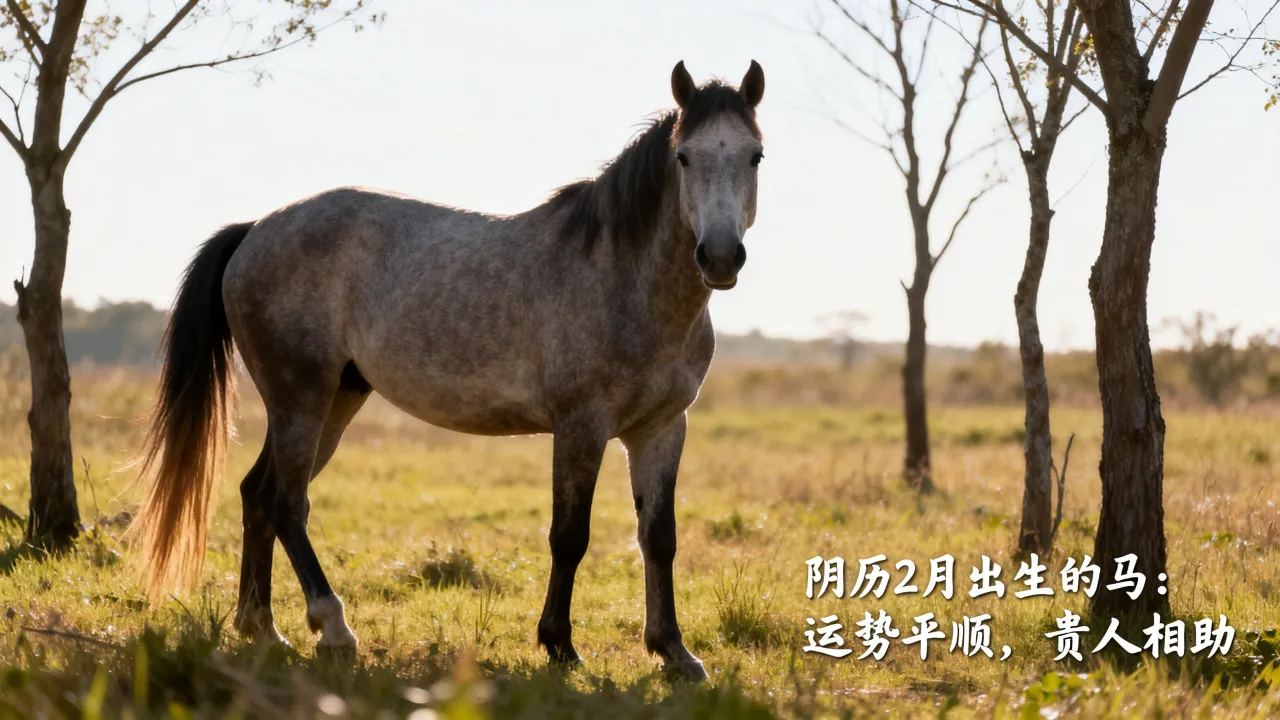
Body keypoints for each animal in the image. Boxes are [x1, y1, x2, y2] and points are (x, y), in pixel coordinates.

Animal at [130, 60, 765, 682]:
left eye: (755, 154)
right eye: (684, 157)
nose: (719, 256)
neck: (624, 277)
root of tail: (254, 232)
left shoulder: (661, 429)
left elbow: (658, 538)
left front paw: (673, 651)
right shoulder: (580, 427)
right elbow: (570, 536)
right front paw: (559, 645)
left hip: (335, 400)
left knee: (258, 495)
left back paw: (263, 629)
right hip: (300, 399)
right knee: (285, 503)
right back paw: (333, 629)